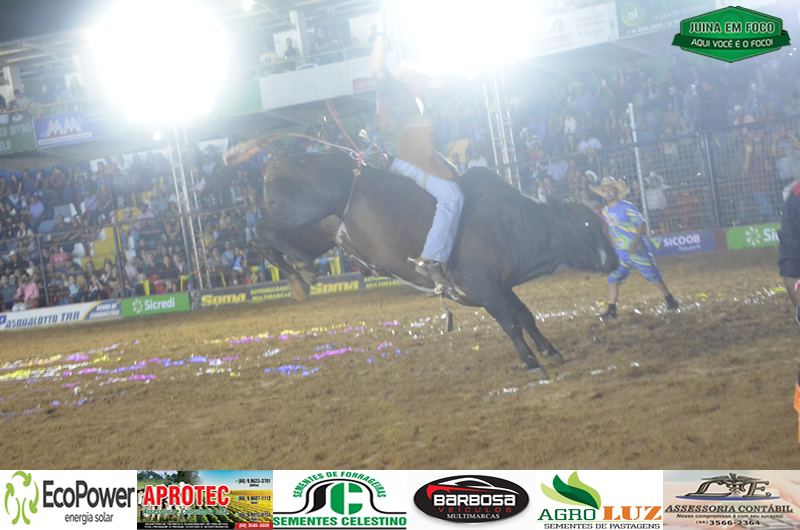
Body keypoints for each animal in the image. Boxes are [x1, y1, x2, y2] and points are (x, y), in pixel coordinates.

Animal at [251, 151, 619, 380]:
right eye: (588, 224)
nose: (615, 259)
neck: (510, 222)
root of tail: (280, 160)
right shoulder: (485, 287)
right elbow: (511, 324)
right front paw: (532, 364)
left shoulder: (501, 286)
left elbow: (526, 316)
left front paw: (550, 351)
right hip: (306, 211)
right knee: (264, 231)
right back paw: (305, 269)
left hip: (315, 232)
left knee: (263, 239)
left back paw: (298, 277)